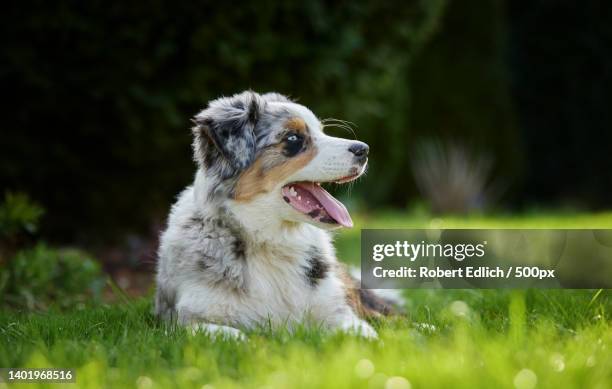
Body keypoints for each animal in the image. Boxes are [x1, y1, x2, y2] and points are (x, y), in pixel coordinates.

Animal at [155, 91, 394, 340]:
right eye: (293, 138)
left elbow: (366, 335)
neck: (272, 240)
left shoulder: (336, 310)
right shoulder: (185, 320)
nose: (364, 150)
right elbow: (236, 336)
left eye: (321, 131)